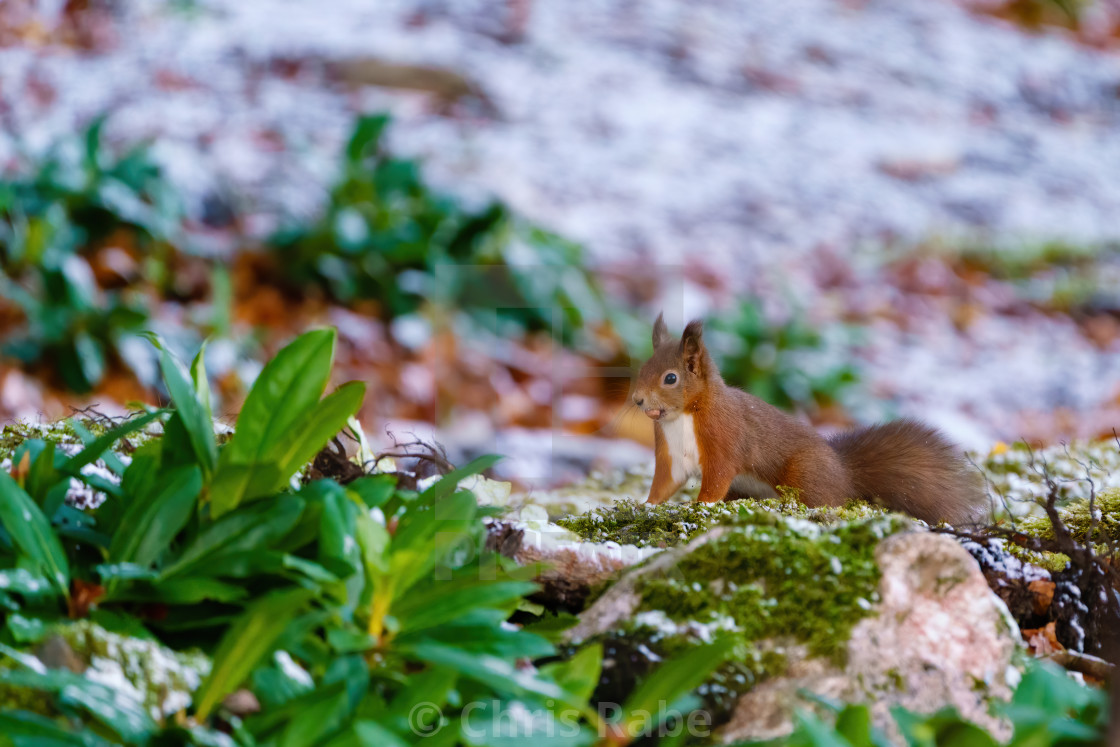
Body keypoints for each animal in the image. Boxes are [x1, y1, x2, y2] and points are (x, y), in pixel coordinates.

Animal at [636, 315, 985, 526]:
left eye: (671, 378)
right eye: (642, 368)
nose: (638, 400)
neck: (683, 417)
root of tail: (845, 474)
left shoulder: (724, 438)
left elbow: (718, 476)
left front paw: (701, 506)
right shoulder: (671, 454)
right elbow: (665, 482)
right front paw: (647, 505)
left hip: (804, 472)